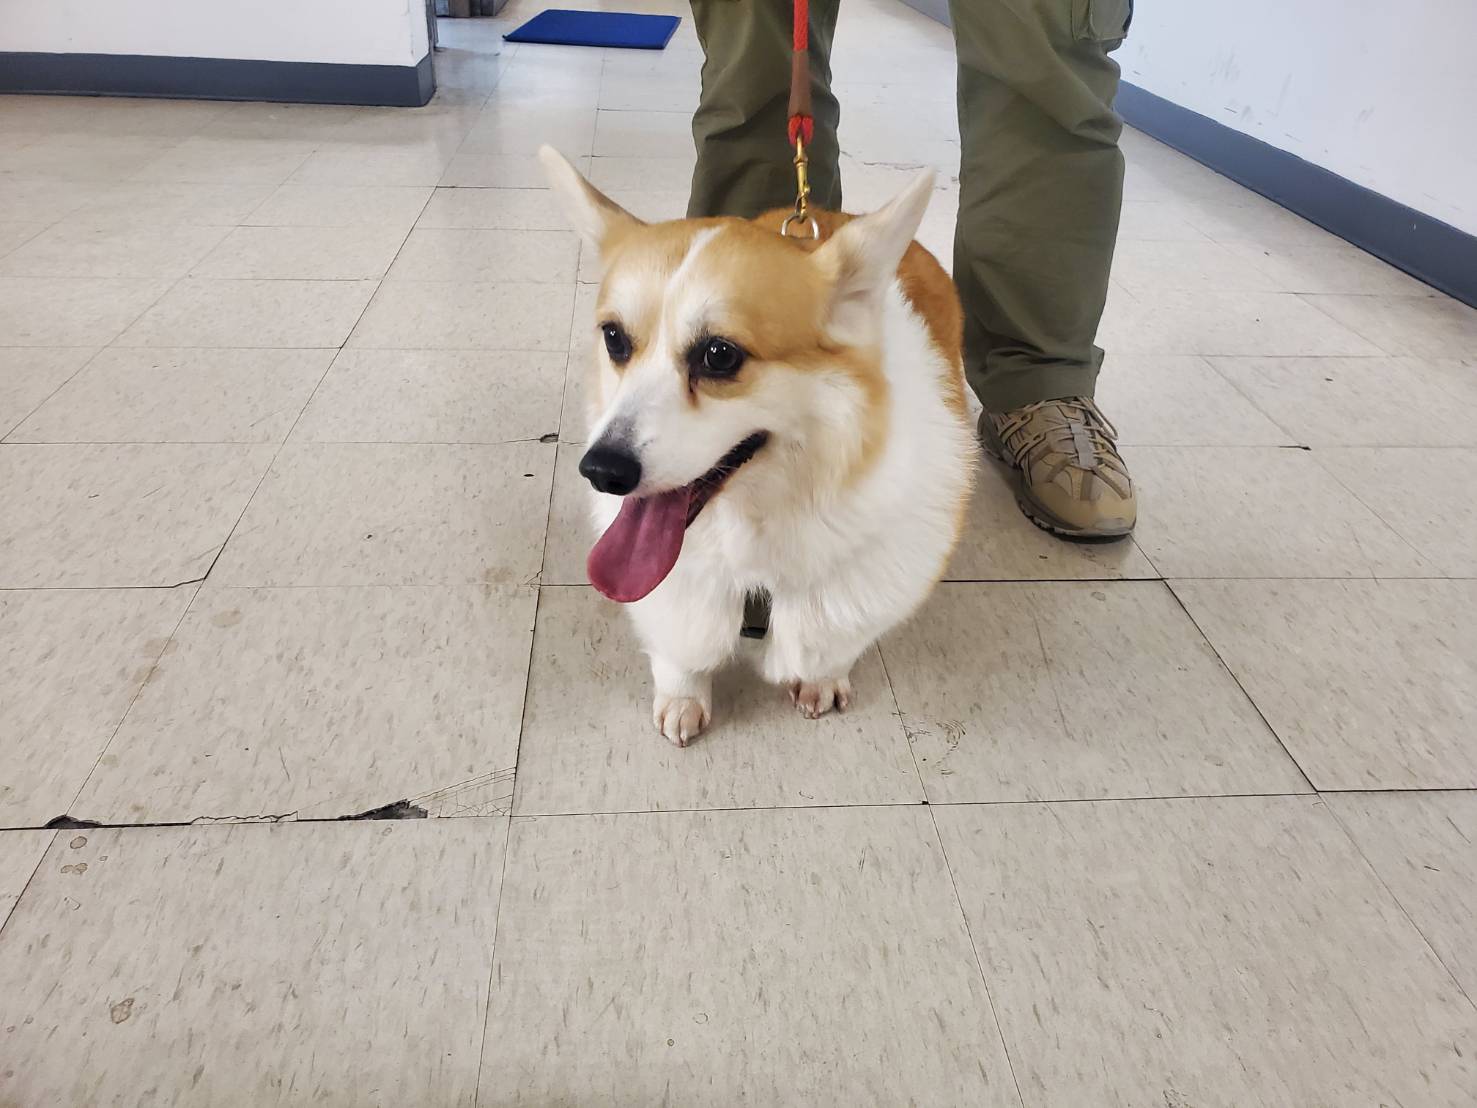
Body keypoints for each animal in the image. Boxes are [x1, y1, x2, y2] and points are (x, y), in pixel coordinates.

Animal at [540, 146, 975, 747]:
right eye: (614, 339)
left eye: (719, 355)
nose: (603, 471)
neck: (746, 529)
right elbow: (679, 651)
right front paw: (682, 697)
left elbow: (830, 644)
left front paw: (820, 680)